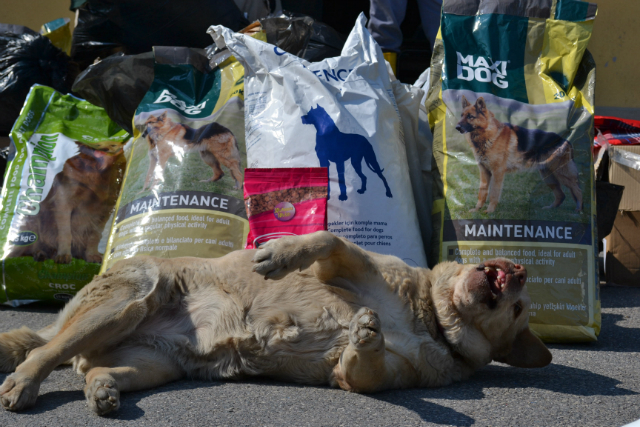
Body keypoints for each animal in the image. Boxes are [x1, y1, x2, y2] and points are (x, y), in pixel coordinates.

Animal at [0, 232, 552, 416]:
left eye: (517, 310)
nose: (521, 272)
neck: (432, 320)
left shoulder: (365, 376)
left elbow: (362, 364)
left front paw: (365, 335)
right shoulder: (345, 263)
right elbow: (324, 237)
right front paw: (279, 254)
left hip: (153, 364)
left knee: (93, 369)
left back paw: (102, 393)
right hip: (128, 302)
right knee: (42, 352)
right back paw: (23, 385)